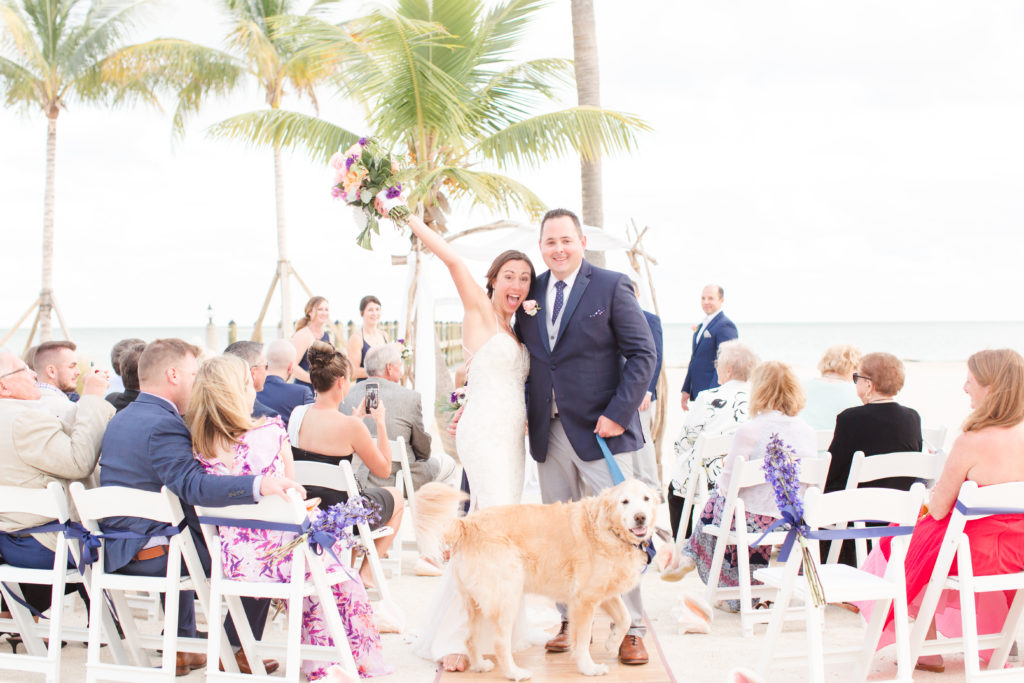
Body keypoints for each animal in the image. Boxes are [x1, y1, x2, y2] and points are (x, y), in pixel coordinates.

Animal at [413, 479, 655, 679]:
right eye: (625, 501)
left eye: (646, 499)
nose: (640, 517)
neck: (608, 529)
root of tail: (467, 524)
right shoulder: (584, 601)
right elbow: (583, 639)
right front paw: (588, 667)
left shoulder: (603, 593)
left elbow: (625, 618)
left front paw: (612, 642)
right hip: (507, 598)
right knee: (500, 643)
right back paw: (514, 673)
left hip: (476, 603)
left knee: (470, 639)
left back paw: (480, 665)